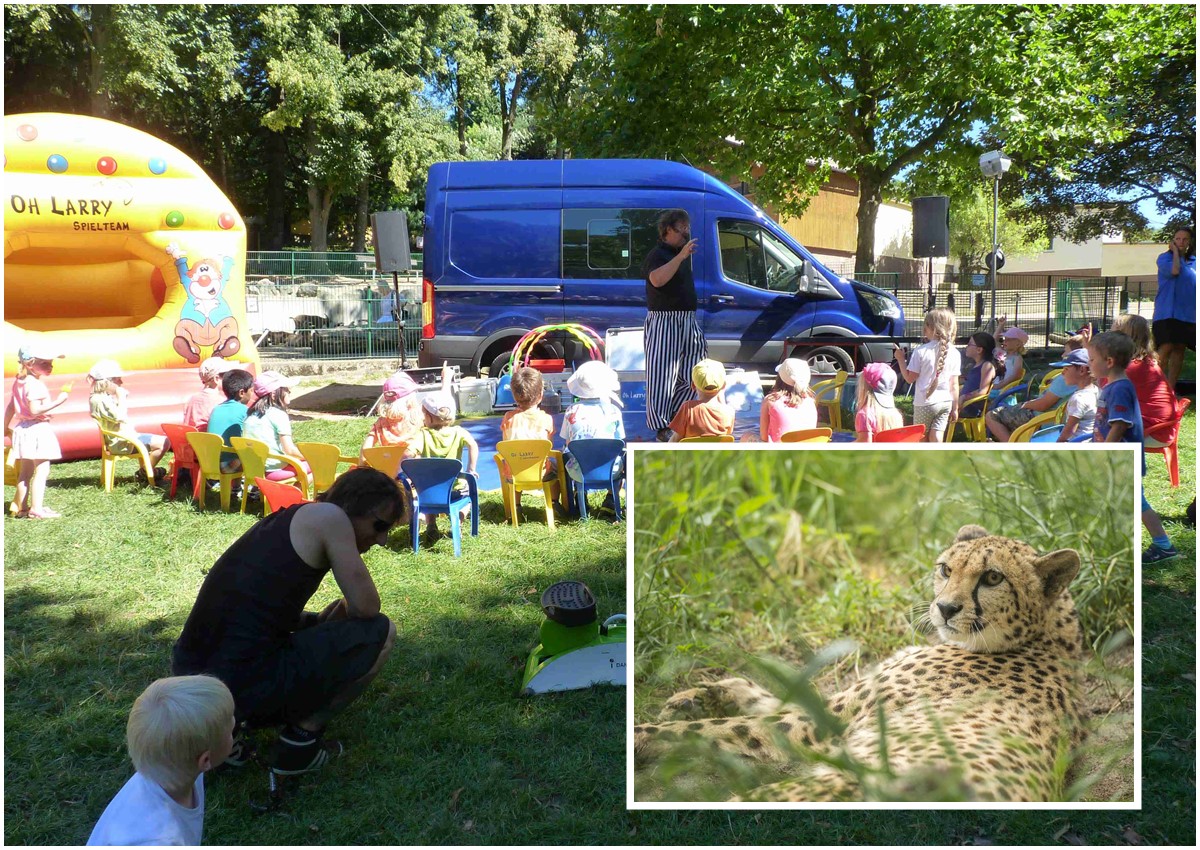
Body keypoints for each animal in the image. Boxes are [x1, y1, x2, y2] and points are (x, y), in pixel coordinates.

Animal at [633, 523, 1084, 801]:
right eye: (945, 569)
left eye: (992, 578)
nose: (945, 608)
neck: (1045, 638)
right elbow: (768, 696)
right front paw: (700, 695)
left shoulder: (823, 726)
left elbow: (719, 729)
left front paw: (643, 734)